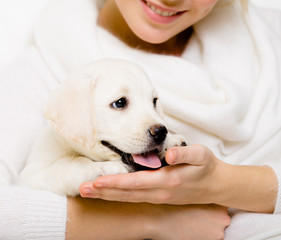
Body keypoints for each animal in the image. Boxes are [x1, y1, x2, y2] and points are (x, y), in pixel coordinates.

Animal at [16, 59, 185, 196]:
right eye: (120, 103)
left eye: (154, 101)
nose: (161, 132)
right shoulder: (32, 176)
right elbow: (69, 164)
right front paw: (102, 167)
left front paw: (171, 141)